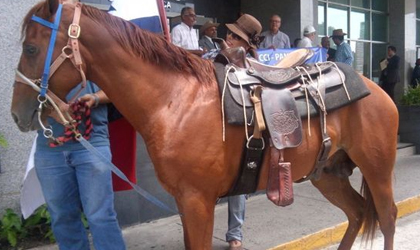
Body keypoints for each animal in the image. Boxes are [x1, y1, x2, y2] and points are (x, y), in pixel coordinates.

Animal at [9, 0, 398, 249]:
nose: (17, 113)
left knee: (387, 217)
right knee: (357, 214)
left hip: (377, 169)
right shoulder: (185, 201)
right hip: (327, 174)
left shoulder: (198, 201)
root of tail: (377, 90)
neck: (175, 100)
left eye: (31, 49)